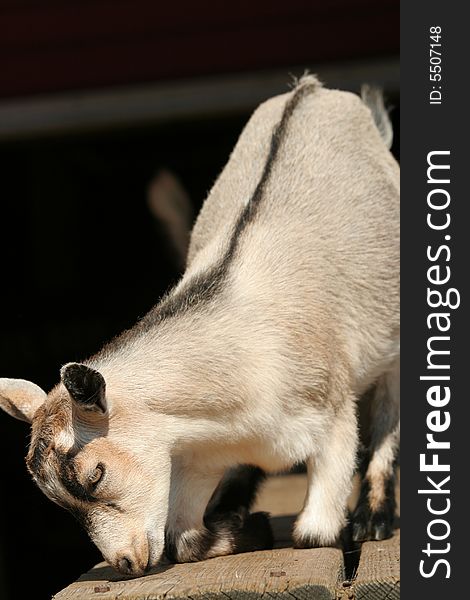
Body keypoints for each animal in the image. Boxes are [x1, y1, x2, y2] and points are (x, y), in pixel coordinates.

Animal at [0, 76, 400, 576]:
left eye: (96, 474)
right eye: (58, 503)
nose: (126, 563)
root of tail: (311, 89)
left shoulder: (333, 418)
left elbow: (313, 535)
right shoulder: (194, 456)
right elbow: (184, 542)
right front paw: (247, 525)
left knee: (388, 413)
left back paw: (375, 519)